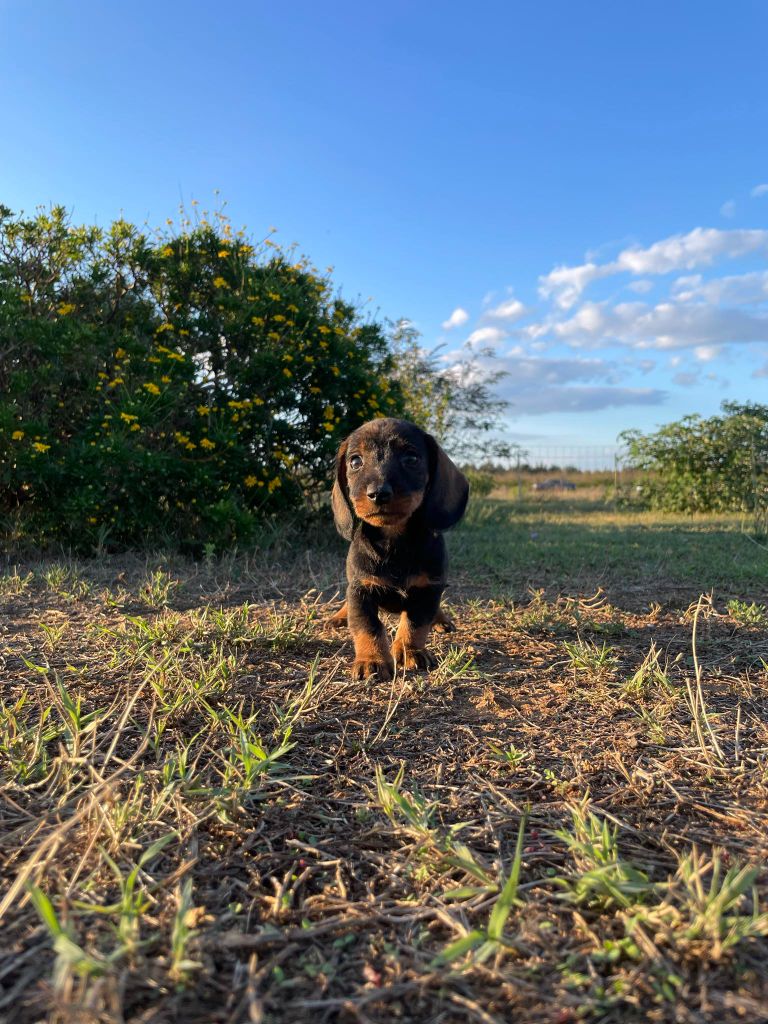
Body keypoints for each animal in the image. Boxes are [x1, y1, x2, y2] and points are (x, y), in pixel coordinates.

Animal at [331, 415, 468, 679]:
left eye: (411, 459)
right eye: (355, 461)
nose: (378, 493)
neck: (393, 543)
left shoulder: (427, 590)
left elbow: (415, 623)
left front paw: (409, 650)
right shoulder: (361, 589)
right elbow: (368, 626)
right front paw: (371, 660)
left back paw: (441, 619)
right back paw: (339, 616)